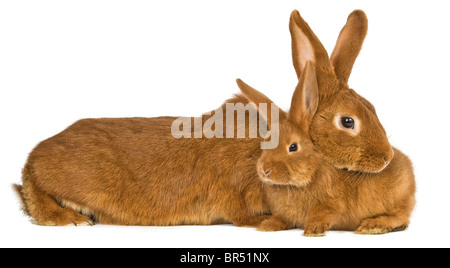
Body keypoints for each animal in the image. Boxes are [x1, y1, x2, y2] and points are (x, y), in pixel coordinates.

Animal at [237, 61, 416, 236]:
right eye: (266, 142)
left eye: (293, 147)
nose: (264, 171)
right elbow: (282, 218)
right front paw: (268, 225)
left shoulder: (333, 203)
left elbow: (324, 212)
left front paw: (313, 230)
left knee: (401, 218)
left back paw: (374, 225)